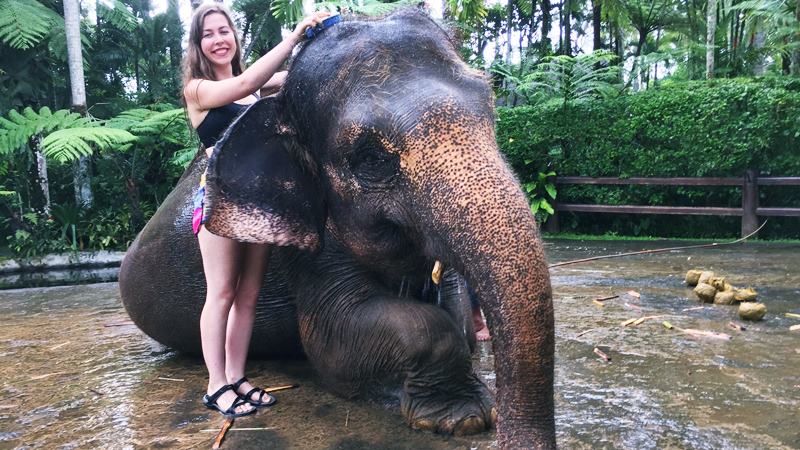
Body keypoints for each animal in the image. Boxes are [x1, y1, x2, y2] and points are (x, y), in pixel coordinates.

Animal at [119, 10, 555, 449]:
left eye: (490, 105)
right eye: (370, 158)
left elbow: (457, 312)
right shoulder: (305, 248)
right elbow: (339, 338)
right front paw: (460, 419)